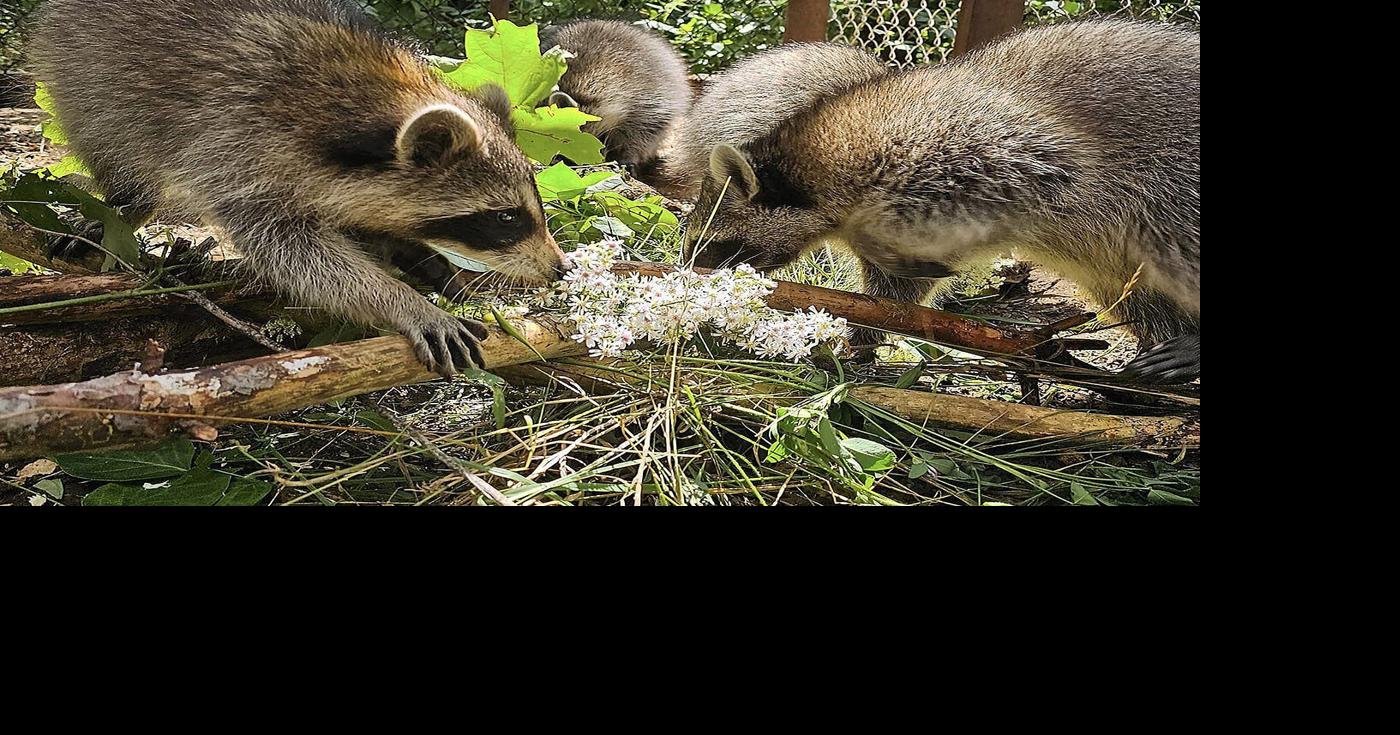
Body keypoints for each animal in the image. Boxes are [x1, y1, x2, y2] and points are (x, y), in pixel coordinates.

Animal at [28, 0, 565, 377]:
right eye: (506, 218)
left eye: (535, 204)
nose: (558, 268)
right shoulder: (233, 145)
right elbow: (296, 254)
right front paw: (400, 300)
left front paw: (412, 253)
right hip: (85, 74)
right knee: (114, 144)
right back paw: (123, 207)